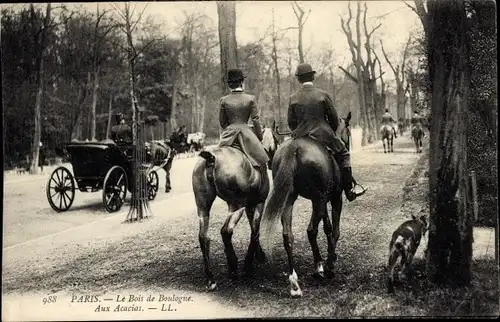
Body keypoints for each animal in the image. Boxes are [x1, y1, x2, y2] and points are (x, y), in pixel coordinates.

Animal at [192, 135, 272, 290]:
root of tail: (211, 158)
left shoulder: (250, 205)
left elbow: (253, 229)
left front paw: (258, 255)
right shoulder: (259, 203)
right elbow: (255, 231)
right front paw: (249, 264)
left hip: (203, 207)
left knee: (203, 237)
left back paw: (211, 278)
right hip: (236, 206)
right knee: (226, 231)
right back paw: (233, 268)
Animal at [260, 112, 358, 298]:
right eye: (348, 133)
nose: (348, 146)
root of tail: (294, 149)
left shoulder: (322, 200)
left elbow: (327, 227)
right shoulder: (334, 198)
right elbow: (334, 230)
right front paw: (330, 263)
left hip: (290, 199)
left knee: (288, 235)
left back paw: (294, 282)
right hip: (318, 200)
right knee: (311, 230)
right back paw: (320, 267)